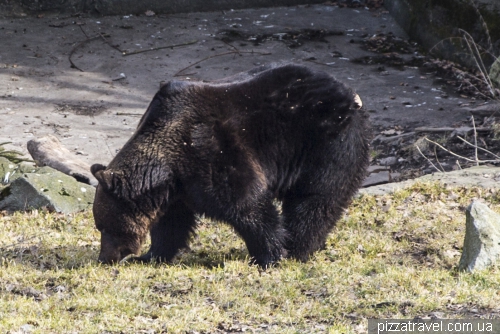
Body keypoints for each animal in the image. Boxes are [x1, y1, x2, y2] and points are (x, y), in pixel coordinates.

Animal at [91, 63, 372, 268]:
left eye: (104, 226)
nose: (105, 258)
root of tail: (352, 97)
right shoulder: (178, 189)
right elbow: (171, 225)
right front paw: (151, 255)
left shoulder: (212, 153)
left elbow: (248, 205)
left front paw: (270, 256)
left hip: (326, 144)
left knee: (316, 199)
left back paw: (299, 249)